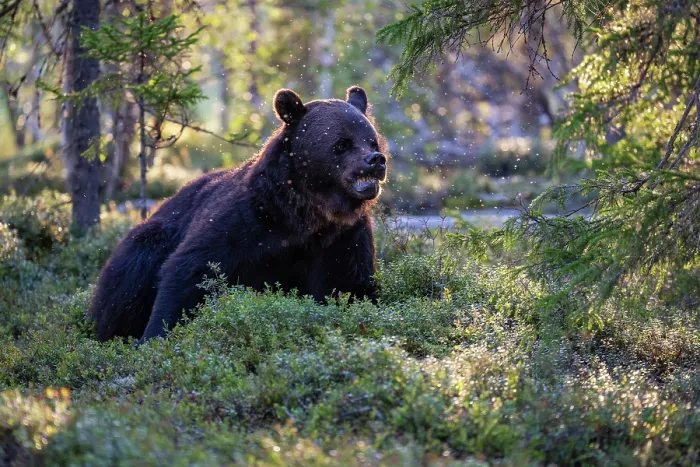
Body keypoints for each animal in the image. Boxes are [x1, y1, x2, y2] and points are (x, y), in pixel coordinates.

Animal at [89, 86, 388, 342]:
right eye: (342, 144)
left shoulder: (341, 239)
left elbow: (350, 285)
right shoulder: (243, 223)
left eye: (372, 140)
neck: (303, 214)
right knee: (131, 276)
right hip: (150, 238)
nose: (376, 160)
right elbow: (190, 271)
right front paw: (155, 335)